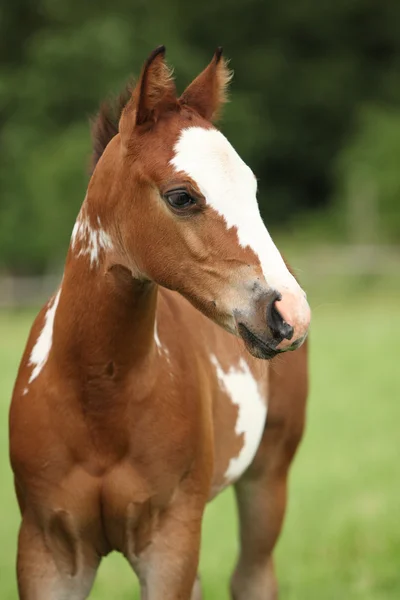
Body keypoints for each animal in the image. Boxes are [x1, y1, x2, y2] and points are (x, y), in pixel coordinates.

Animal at [8, 47, 310, 600]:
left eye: (251, 188)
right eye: (182, 196)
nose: (290, 314)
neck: (97, 399)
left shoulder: (170, 543)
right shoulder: (46, 551)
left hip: (267, 476)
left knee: (253, 575)